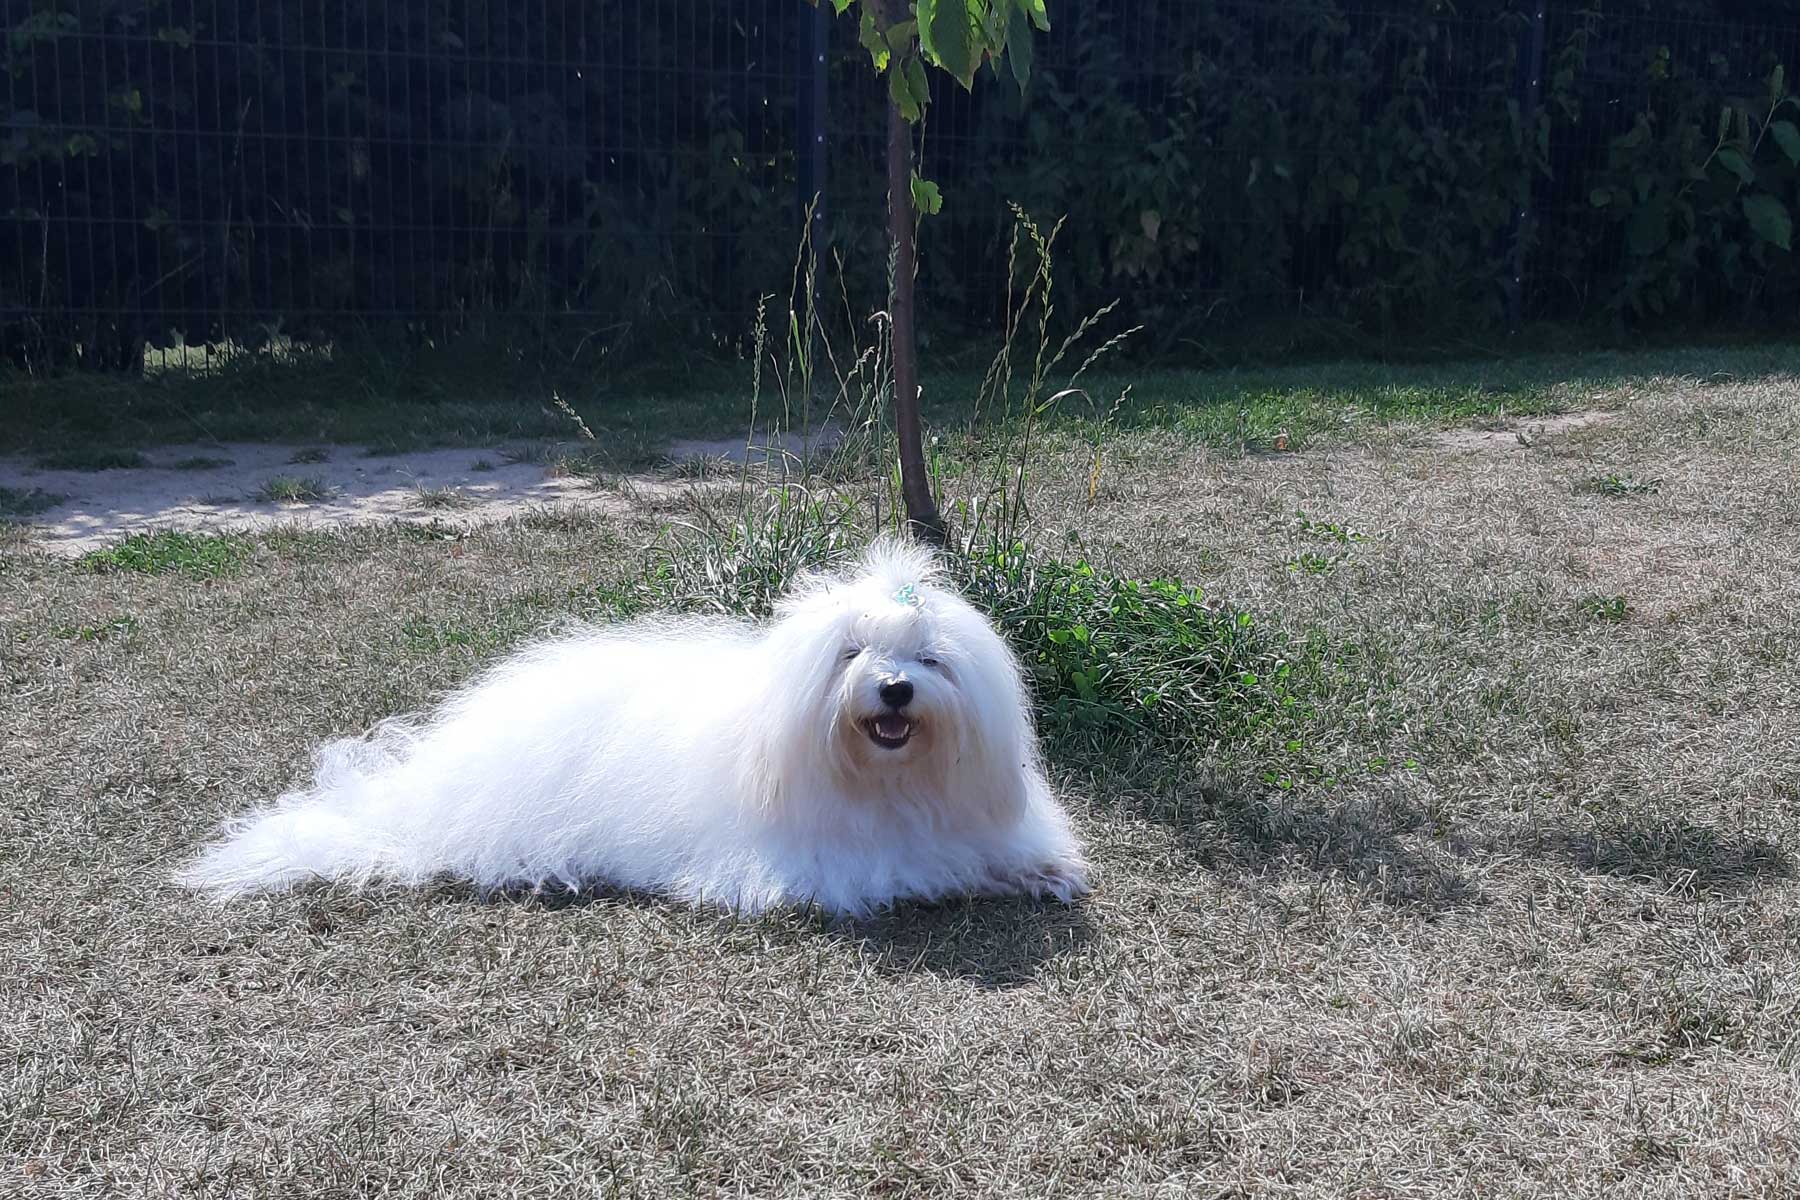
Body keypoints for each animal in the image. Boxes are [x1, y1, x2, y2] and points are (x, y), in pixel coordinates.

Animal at [175, 539, 1087, 913]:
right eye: (852, 652)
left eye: (932, 660)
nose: (894, 691)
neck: (887, 784)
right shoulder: (824, 866)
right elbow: (925, 869)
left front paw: (1039, 869)